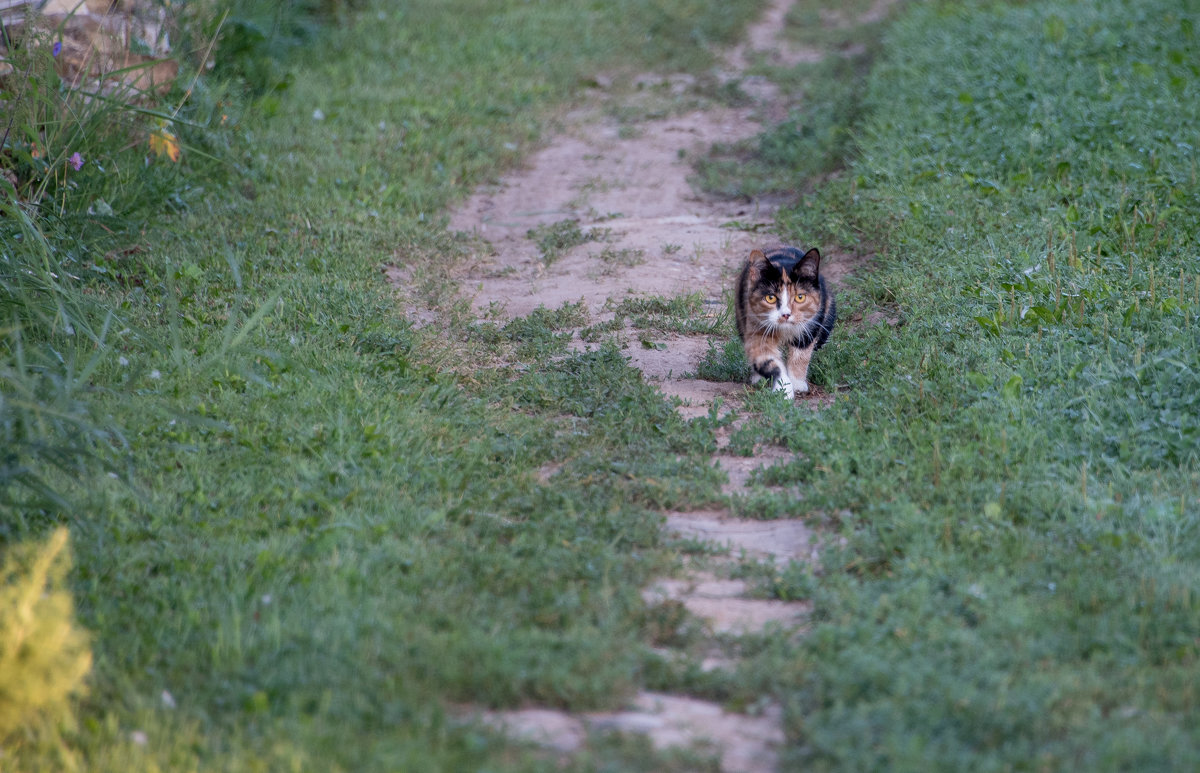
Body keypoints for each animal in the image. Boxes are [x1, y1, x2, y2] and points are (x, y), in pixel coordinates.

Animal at [729, 247, 835, 400]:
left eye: (800, 297)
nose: (786, 314)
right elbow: (768, 360)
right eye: (770, 298)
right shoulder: (756, 329)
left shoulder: (809, 328)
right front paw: (783, 390)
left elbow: (800, 356)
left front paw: (797, 384)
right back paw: (757, 379)